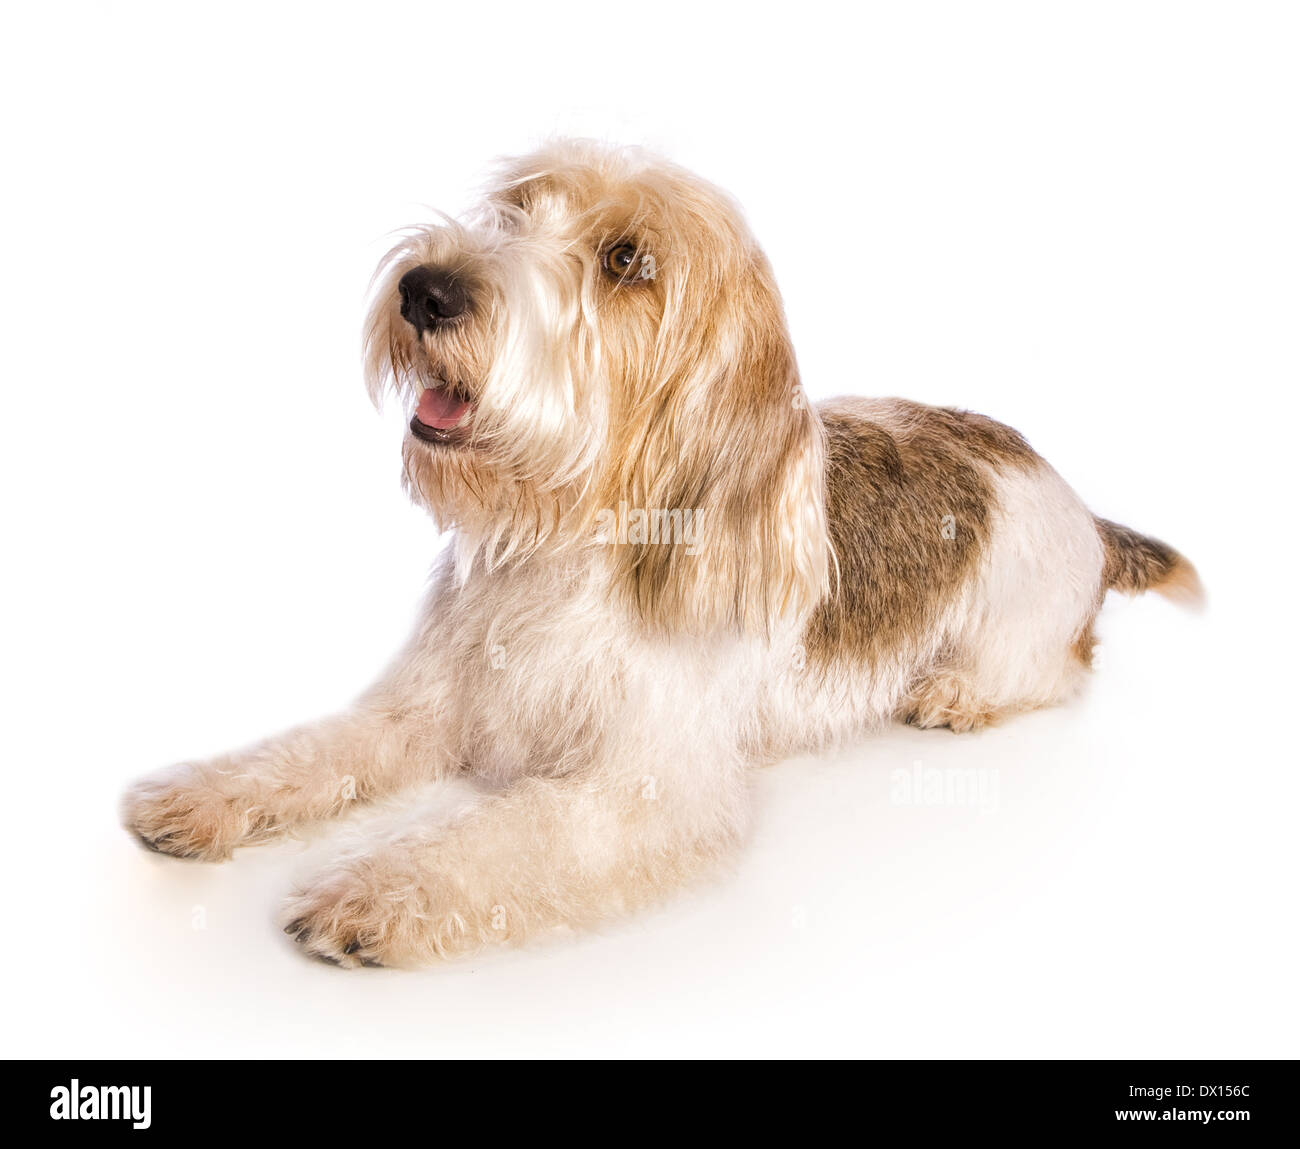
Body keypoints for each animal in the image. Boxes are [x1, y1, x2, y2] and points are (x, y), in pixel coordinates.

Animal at [122, 139, 1196, 967]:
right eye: (515, 207)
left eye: (626, 259)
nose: (425, 289)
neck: (564, 542)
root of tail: (1077, 502)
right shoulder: (427, 706)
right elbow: (315, 748)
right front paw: (203, 791)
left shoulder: (644, 791)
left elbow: (505, 834)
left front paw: (379, 889)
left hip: (1025, 625)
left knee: (1062, 667)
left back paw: (958, 694)